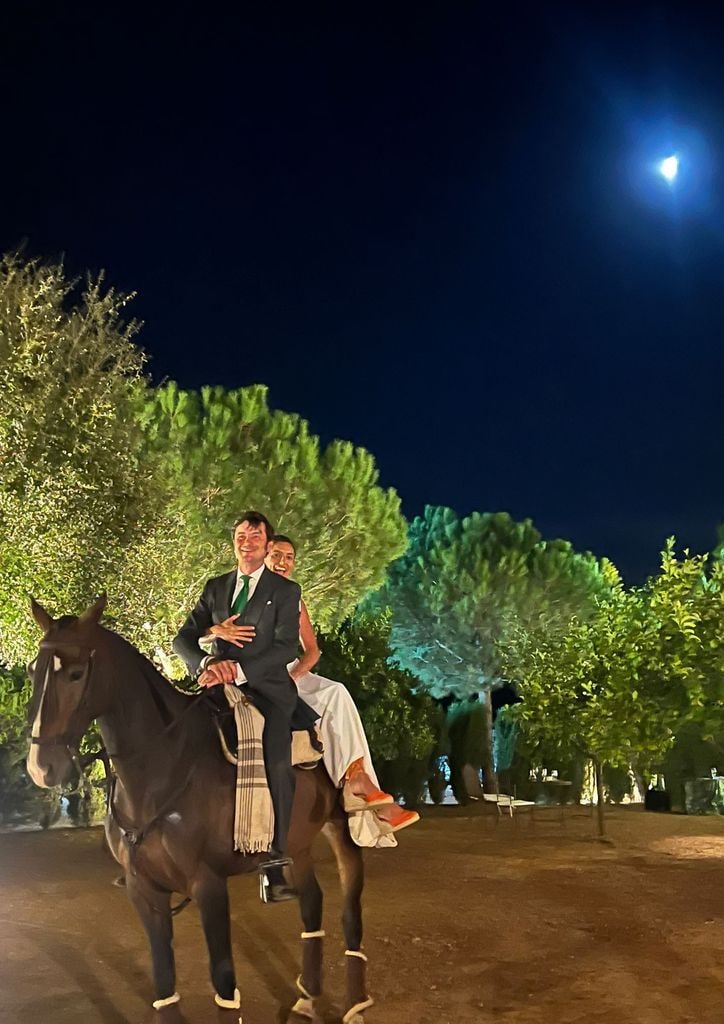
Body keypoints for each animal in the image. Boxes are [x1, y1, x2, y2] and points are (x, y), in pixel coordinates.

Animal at [25, 598, 374, 1019]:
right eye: (33, 670)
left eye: (76, 673)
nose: (42, 767)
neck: (164, 768)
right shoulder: (145, 891)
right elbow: (164, 980)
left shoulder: (209, 885)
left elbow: (223, 981)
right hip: (299, 843)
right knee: (312, 903)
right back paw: (306, 1000)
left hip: (342, 827)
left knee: (350, 908)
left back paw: (356, 1004)